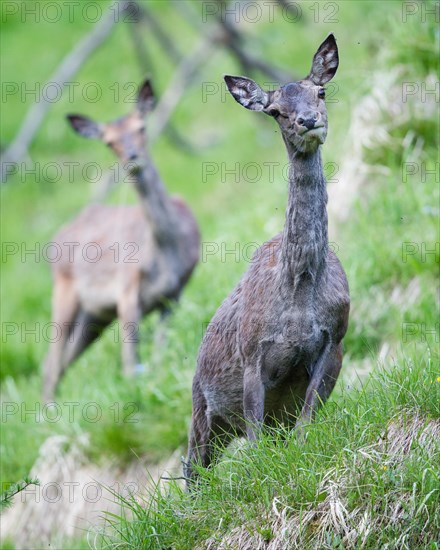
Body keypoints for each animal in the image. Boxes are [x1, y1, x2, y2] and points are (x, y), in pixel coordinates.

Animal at [43, 78, 199, 402]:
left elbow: (159, 348)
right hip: (63, 289)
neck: (168, 251)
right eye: (109, 141)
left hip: (94, 315)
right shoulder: (127, 291)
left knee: (63, 359)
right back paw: (46, 409)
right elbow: (131, 358)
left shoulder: (174, 294)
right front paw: (135, 393)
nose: (132, 157)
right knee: (50, 361)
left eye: (141, 127)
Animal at [186, 33, 350, 484]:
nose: (308, 121)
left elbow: (306, 426)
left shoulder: (336, 340)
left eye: (320, 92)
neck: (299, 287)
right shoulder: (251, 355)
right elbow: (256, 439)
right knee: (193, 468)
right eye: (276, 111)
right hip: (201, 406)